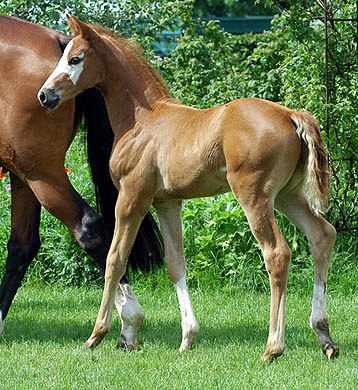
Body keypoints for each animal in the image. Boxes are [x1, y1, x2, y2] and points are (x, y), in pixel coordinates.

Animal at [38, 17, 338, 360]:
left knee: (276, 252)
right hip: (288, 195)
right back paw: (325, 336)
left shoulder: (132, 198)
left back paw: (273, 346)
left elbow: (115, 259)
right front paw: (187, 337)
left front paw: (98, 335)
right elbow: (176, 263)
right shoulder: (168, 203)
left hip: (254, 195)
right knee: (322, 235)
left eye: (75, 59)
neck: (143, 118)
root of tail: (290, 114)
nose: (45, 95)